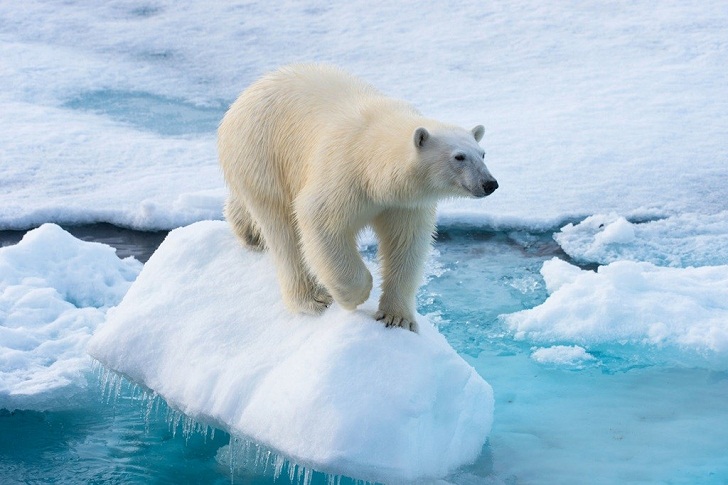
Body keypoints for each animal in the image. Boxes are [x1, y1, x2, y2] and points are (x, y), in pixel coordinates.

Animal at [219, 64, 498, 330]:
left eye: (483, 154)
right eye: (459, 157)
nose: (490, 183)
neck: (372, 158)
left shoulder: (403, 203)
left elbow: (406, 244)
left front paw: (397, 317)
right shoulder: (343, 174)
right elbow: (320, 221)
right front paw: (355, 295)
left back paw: (248, 232)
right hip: (262, 155)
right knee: (283, 231)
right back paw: (313, 299)